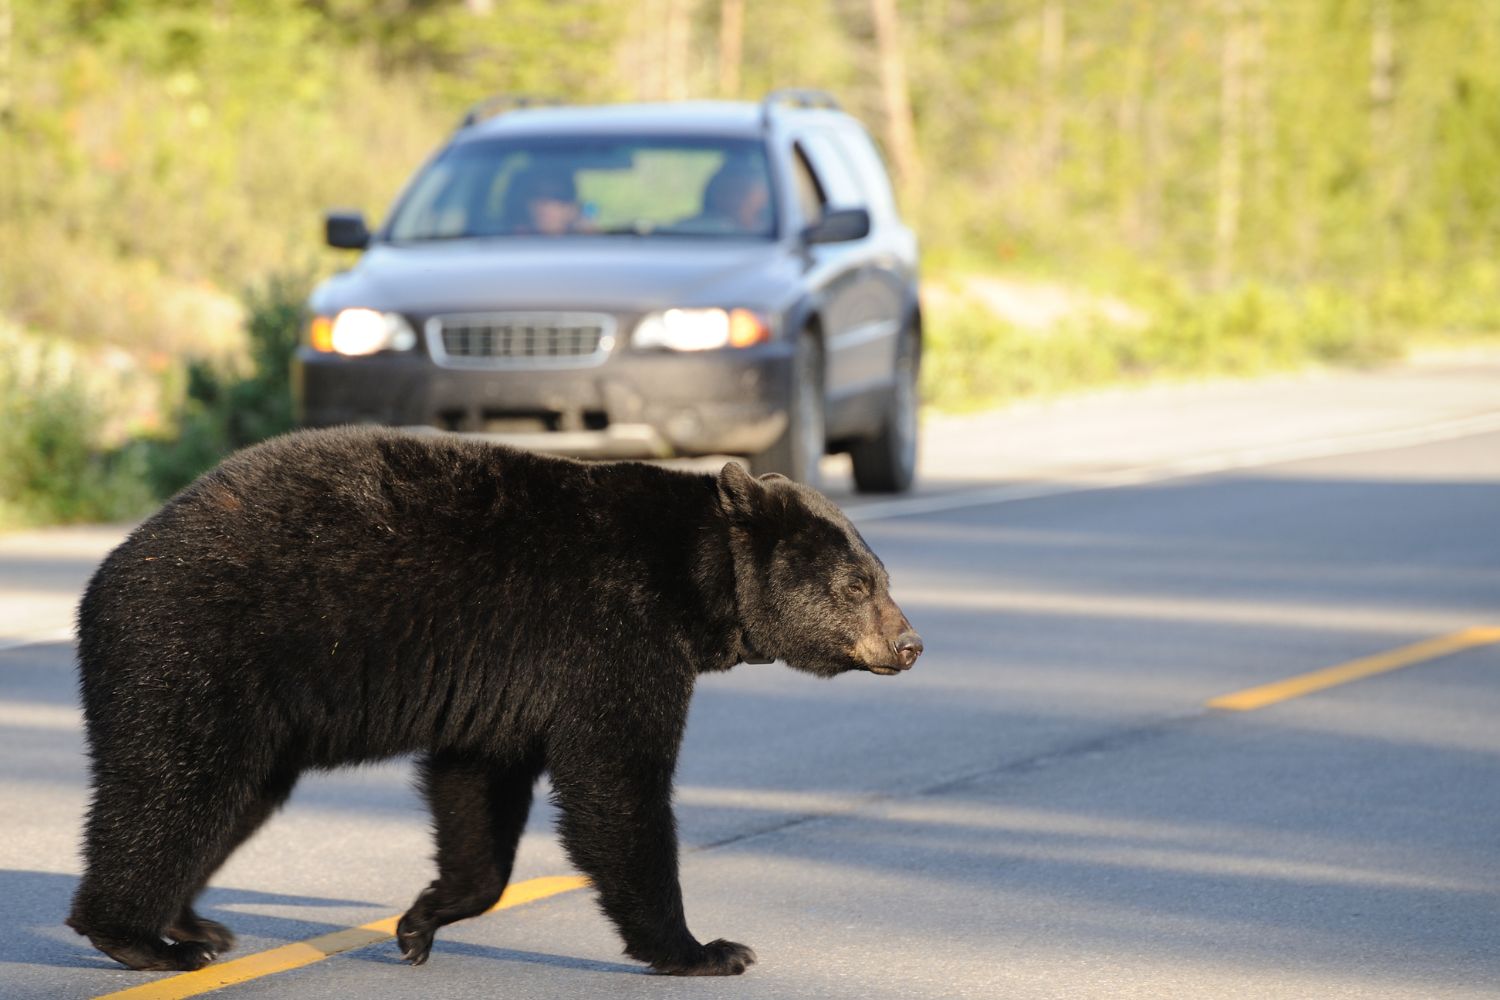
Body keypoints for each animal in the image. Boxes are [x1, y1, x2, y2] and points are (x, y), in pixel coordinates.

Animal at [66, 426, 922, 976]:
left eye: (881, 576)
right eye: (859, 585)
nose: (911, 643)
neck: (693, 577)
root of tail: (104, 579)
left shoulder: (507, 680)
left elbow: (478, 788)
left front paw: (421, 920)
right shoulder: (610, 632)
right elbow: (616, 781)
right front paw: (703, 949)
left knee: (230, 800)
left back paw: (192, 922)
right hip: (197, 656)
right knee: (174, 790)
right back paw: (140, 937)